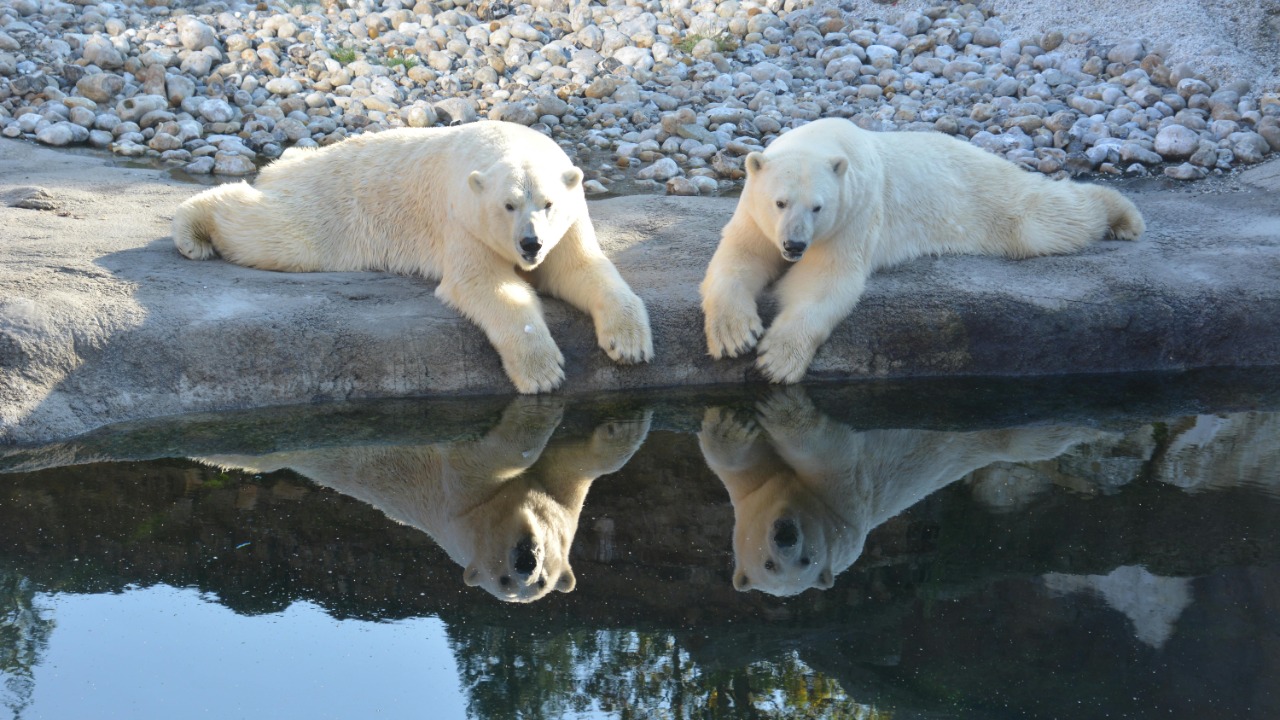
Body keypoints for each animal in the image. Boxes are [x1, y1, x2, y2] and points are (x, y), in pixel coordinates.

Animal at [172, 121, 653, 394]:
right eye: (508, 205)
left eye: (549, 203)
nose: (530, 244)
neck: (509, 143)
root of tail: (287, 162)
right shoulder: (463, 218)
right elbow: (485, 284)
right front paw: (542, 372)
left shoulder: (569, 223)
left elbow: (580, 269)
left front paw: (629, 344)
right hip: (331, 204)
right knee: (278, 234)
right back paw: (191, 230)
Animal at [198, 396, 652, 602]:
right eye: (502, 580)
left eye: (541, 581)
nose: (525, 561)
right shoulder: (460, 504)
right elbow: (489, 456)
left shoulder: (561, 499)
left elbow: (576, 468)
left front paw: (624, 426)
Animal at [698, 386, 1108, 596]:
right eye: (769, 565)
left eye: (806, 560)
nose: (785, 534)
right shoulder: (753, 495)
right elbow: (739, 460)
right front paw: (731, 422)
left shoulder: (844, 508)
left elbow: (832, 456)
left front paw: (782, 408)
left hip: (1006, 433)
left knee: (1040, 437)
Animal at [701, 117, 1146, 384]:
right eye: (779, 202)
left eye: (818, 207)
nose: (794, 244)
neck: (824, 141)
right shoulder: (755, 214)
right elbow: (741, 257)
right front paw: (735, 336)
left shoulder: (855, 212)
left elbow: (825, 280)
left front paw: (777, 360)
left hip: (988, 195)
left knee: (1043, 219)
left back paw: (1122, 216)